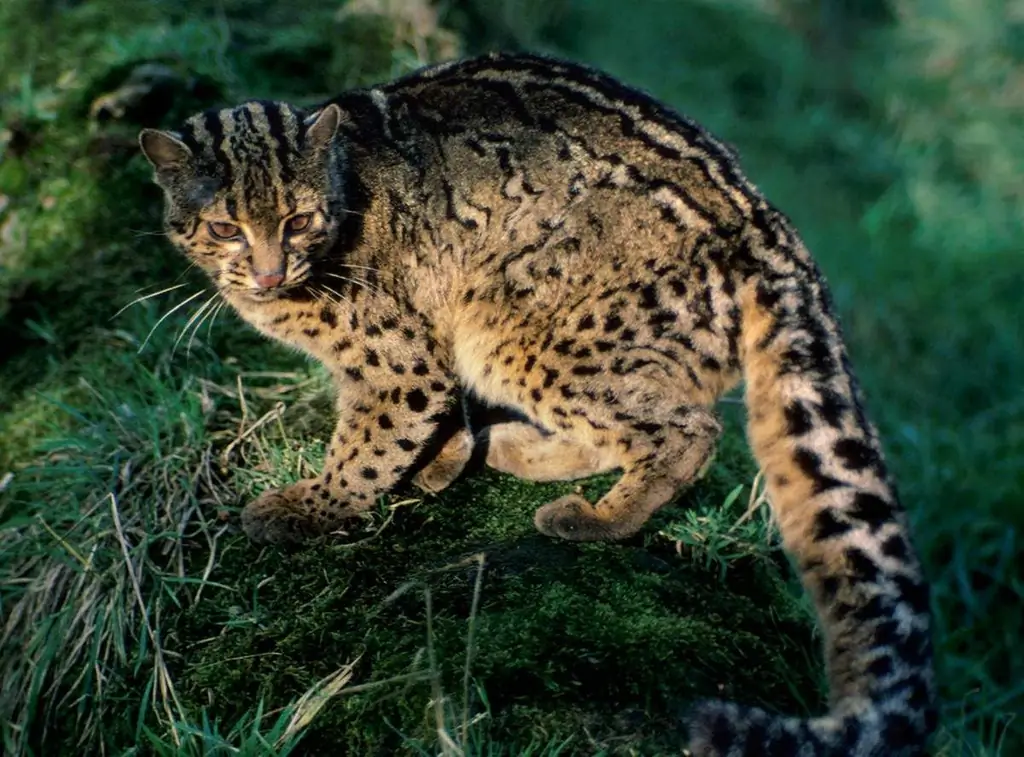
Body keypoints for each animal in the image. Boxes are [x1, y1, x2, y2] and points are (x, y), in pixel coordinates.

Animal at [140, 51, 937, 757]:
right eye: (225, 227)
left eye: (299, 220)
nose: (270, 274)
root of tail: (769, 222)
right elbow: (434, 417)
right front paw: (442, 461)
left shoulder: (395, 359)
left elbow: (371, 440)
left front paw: (309, 507)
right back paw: (517, 449)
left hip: (526, 329)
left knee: (688, 427)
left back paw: (597, 517)